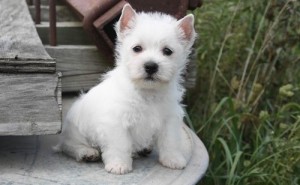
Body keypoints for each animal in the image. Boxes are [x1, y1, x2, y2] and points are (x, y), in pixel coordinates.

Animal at [54, 3, 197, 174]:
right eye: (137, 48)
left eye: (167, 51)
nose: (151, 66)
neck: (147, 92)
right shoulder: (116, 123)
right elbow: (120, 145)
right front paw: (119, 165)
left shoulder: (169, 119)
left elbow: (170, 141)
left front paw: (173, 159)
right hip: (75, 130)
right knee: (69, 145)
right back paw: (86, 152)